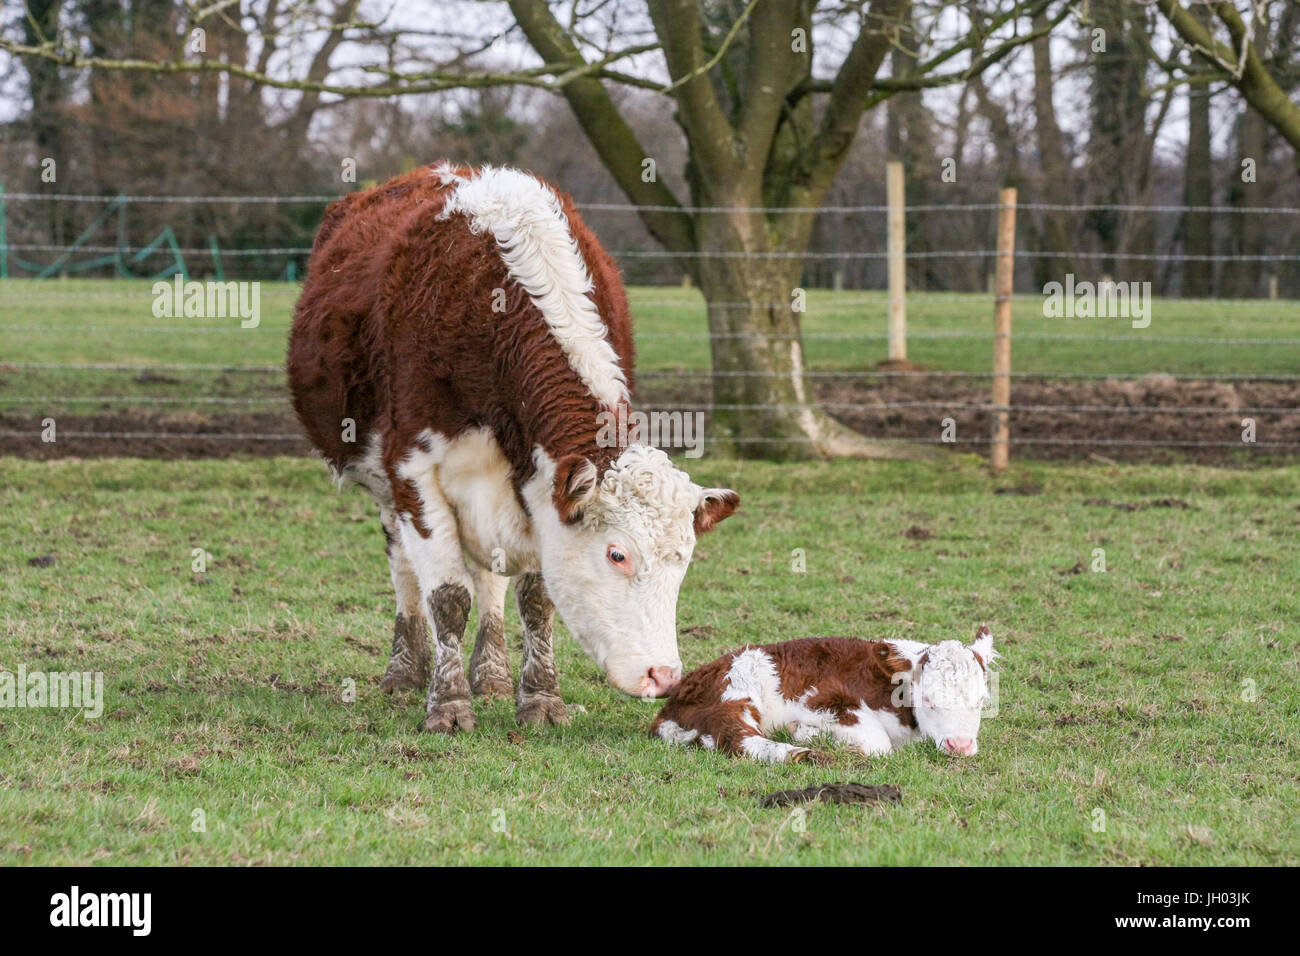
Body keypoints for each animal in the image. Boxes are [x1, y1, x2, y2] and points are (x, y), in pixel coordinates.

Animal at [287, 163, 739, 733]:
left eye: (684, 559)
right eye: (617, 554)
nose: (663, 676)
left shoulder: (538, 484)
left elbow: (535, 599)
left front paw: (540, 699)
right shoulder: (412, 469)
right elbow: (447, 596)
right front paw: (448, 705)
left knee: (488, 577)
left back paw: (492, 673)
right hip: (383, 484)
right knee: (405, 567)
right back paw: (406, 671)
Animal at [651, 626, 996, 763]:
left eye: (981, 701)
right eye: (928, 700)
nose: (961, 746)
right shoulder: (822, 700)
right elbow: (877, 743)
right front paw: (804, 732)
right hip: (734, 690)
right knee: (737, 736)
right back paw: (797, 752)